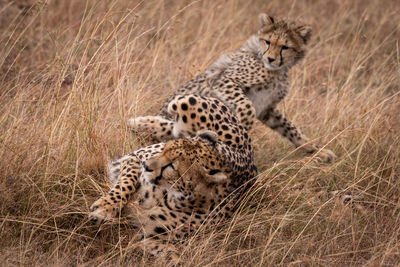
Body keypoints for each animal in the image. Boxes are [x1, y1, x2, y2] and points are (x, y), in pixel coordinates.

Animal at [89, 94, 256, 258]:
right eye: (164, 150)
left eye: (172, 166)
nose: (146, 166)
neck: (174, 196)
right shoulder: (134, 158)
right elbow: (124, 186)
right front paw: (103, 209)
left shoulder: (156, 238)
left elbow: (174, 255)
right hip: (185, 102)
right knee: (174, 121)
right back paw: (138, 122)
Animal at [130, 13, 336, 163]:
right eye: (268, 41)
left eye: (285, 47)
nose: (270, 58)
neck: (277, 70)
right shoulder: (224, 81)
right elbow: (246, 106)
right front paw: (243, 124)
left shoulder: (268, 110)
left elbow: (290, 129)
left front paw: (316, 150)